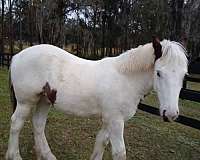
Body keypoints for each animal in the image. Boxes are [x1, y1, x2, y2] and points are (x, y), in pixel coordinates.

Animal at [6, 37, 188, 159]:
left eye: (184, 75)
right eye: (159, 73)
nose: (171, 114)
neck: (125, 79)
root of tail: (17, 56)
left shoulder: (109, 119)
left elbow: (101, 142)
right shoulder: (116, 121)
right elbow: (119, 152)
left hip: (44, 100)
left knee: (38, 124)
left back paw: (46, 155)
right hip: (25, 102)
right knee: (16, 124)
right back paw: (14, 155)